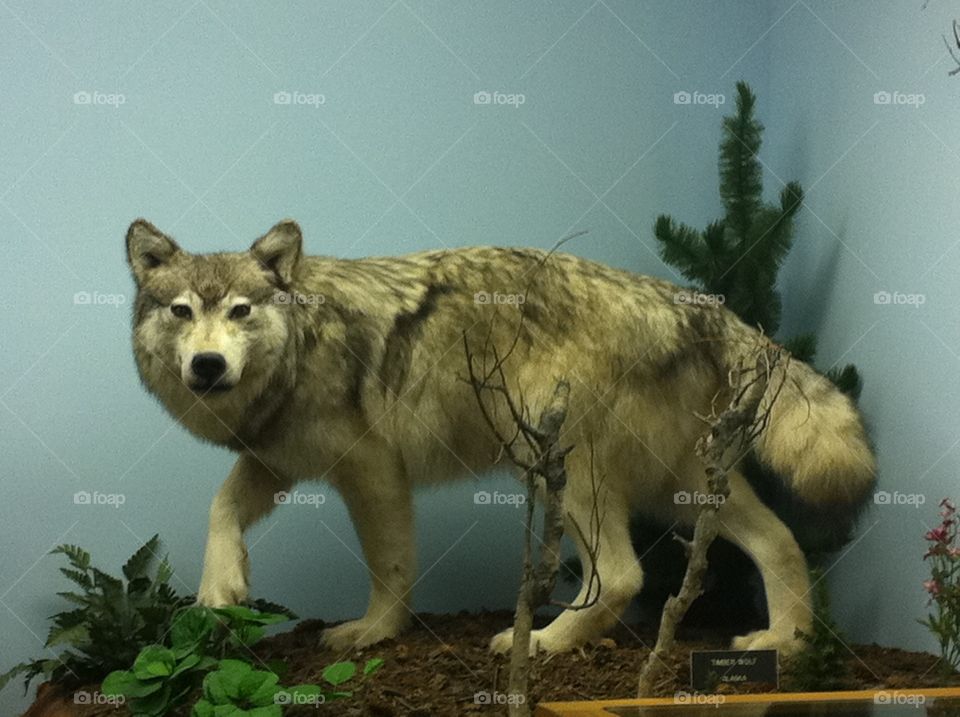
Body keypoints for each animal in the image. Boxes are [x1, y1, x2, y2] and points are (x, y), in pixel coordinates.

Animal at [126, 218, 875, 655]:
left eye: (241, 311)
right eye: (182, 311)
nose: (207, 366)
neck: (301, 346)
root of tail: (690, 302)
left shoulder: (372, 471)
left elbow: (388, 568)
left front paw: (373, 633)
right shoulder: (274, 462)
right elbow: (220, 508)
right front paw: (220, 589)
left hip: (558, 468)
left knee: (624, 575)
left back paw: (542, 641)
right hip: (682, 490)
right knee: (779, 542)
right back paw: (783, 641)